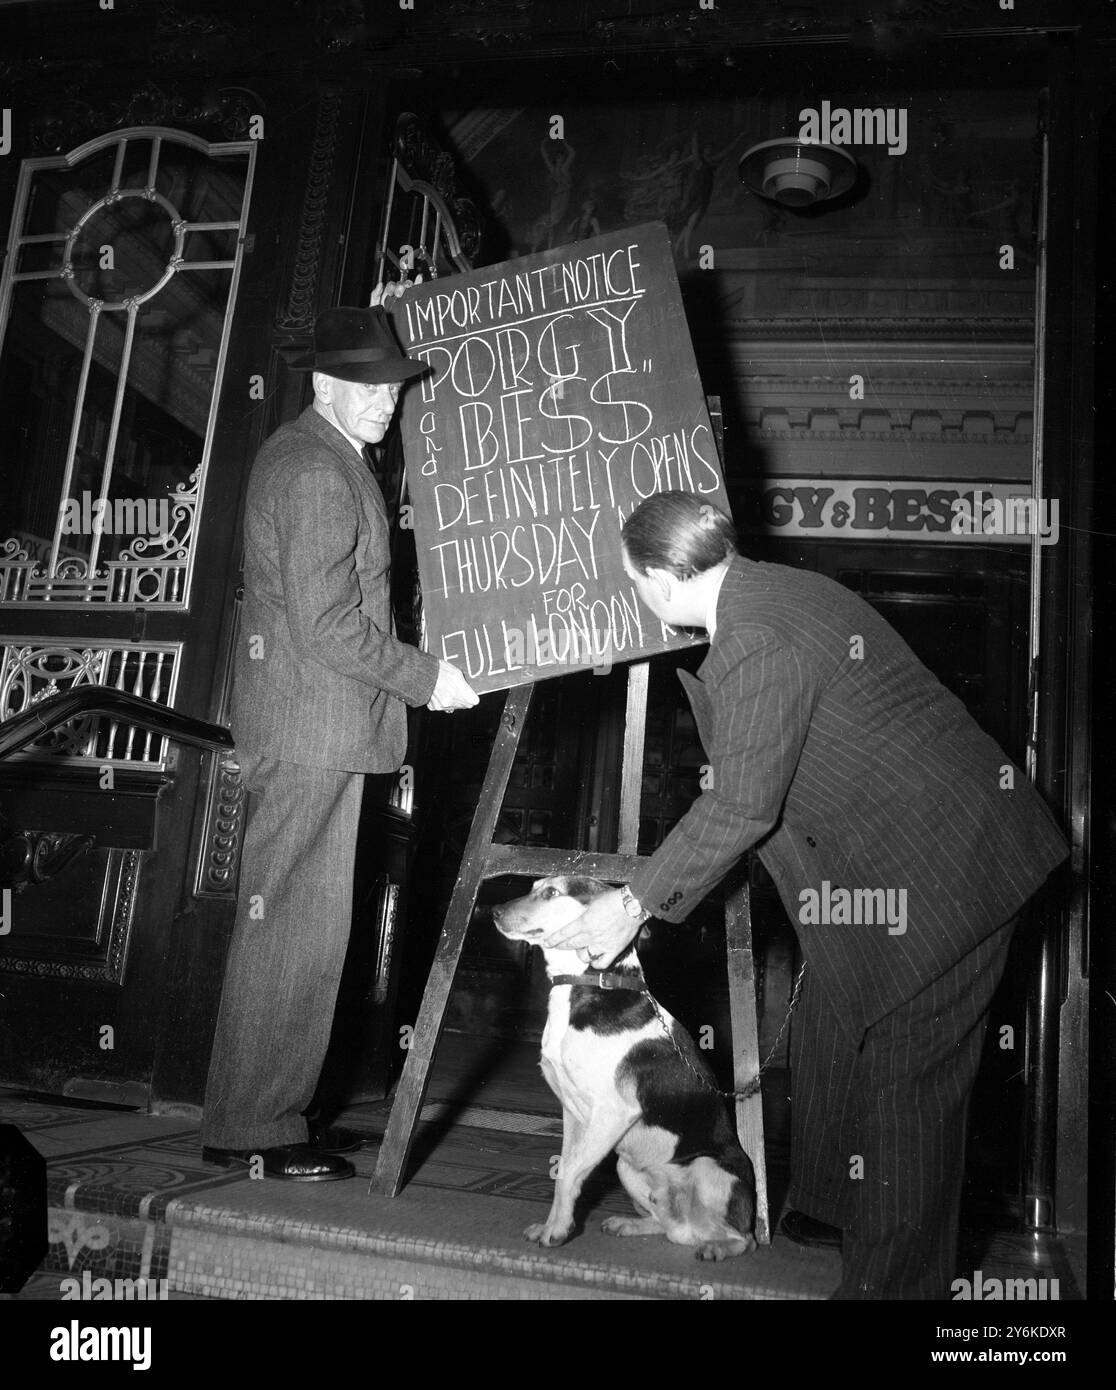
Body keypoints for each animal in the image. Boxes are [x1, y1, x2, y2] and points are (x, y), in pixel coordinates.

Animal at [494, 878, 761, 1262]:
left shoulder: (614, 1112)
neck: (589, 983)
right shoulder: (574, 1115)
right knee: (669, 1227)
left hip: (708, 1169)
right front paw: (553, 1227)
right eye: (533, 887)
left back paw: (715, 1248)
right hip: (626, 1166)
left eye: (552, 893)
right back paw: (631, 1225)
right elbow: (564, 1172)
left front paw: (556, 1232)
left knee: (742, 1238)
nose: (495, 911)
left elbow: (570, 1173)